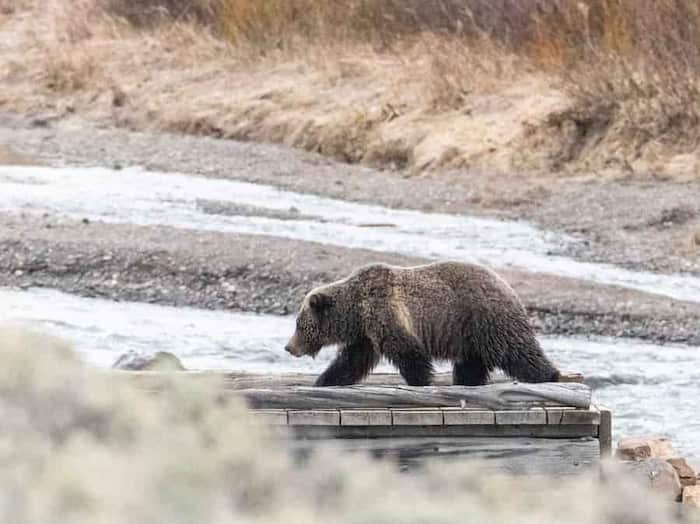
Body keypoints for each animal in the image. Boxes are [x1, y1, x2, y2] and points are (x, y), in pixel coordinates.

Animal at [282, 260, 560, 386]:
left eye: (299, 325)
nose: (288, 347)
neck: (355, 312)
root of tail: (507, 285)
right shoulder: (365, 333)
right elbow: (352, 360)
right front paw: (325, 380)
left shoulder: (384, 310)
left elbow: (406, 349)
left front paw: (420, 379)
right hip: (469, 333)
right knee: (471, 362)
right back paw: (466, 381)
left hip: (487, 318)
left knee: (517, 351)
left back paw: (549, 375)